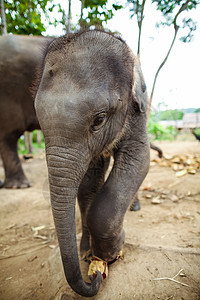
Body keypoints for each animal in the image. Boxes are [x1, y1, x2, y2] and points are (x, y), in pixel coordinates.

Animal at [34, 29, 150, 296]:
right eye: (38, 118)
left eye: (99, 119)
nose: (94, 278)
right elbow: (88, 182)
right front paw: (89, 253)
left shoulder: (137, 112)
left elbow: (140, 160)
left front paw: (111, 254)